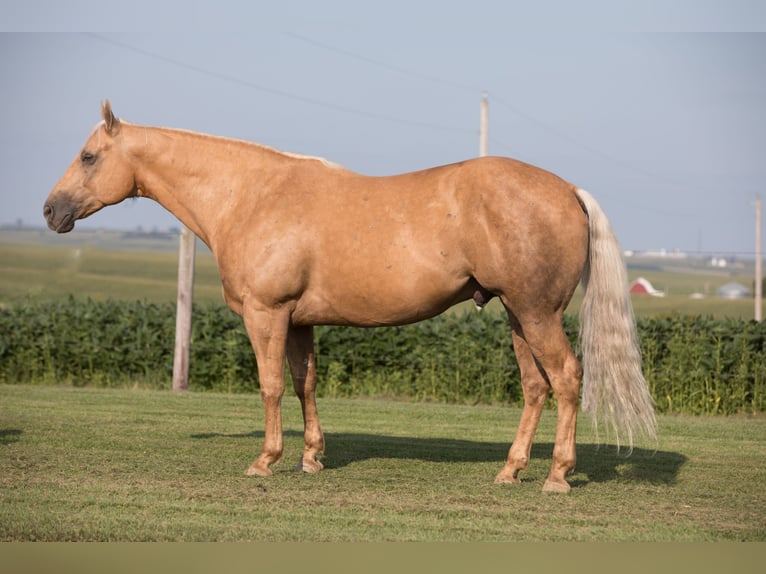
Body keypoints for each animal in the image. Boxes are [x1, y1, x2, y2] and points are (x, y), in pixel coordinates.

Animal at [45, 101, 656, 492]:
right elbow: (304, 384)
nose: (51, 211)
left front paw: (266, 460)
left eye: (89, 156)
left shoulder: (267, 315)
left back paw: (556, 476)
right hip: (517, 314)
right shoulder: (299, 322)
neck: (252, 195)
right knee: (536, 386)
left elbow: (270, 386)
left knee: (568, 379)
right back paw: (511, 471)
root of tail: (567, 189)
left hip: (536, 313)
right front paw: (312, 458)